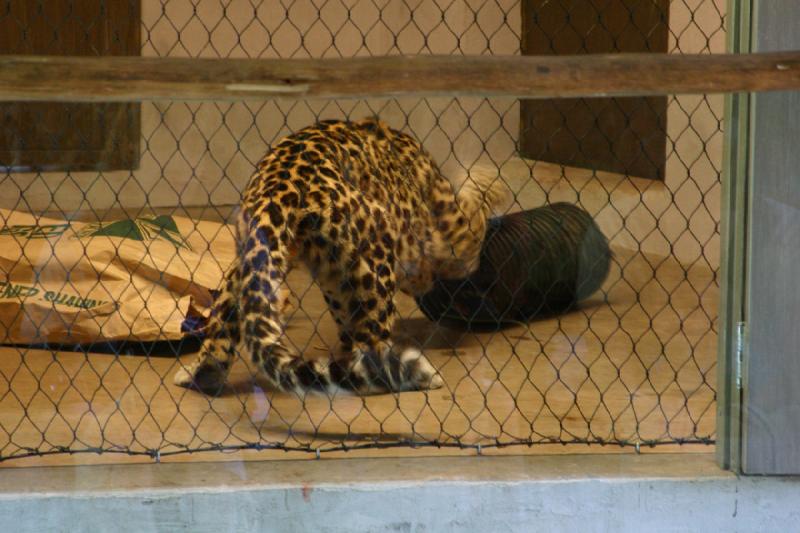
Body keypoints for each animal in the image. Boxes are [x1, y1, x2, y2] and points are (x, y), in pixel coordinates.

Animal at [174, 119, 504, 394]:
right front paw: (488, 180)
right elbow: (474, 219)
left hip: (254, 264)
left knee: (222, 330)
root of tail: (275, 189)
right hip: (378, 249)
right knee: (372, 340)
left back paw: (198, 375)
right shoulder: (448, 239)